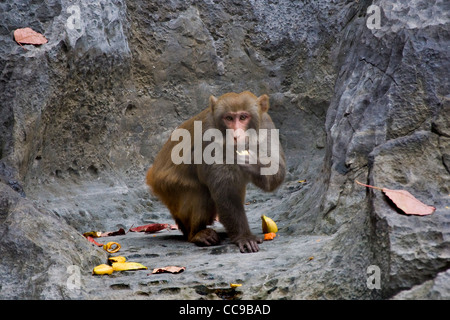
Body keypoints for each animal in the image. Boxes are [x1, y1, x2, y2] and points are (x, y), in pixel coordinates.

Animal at [146, 91, 286, 254]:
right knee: (200, 192)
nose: (236, 135)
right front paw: (244, 237)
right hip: (168, 188)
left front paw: (251, 162)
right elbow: (226, 193)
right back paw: (197, 234)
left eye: (243, 117)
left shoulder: (266, 125)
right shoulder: (209, 137)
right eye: (229, 118)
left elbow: (277, 172)